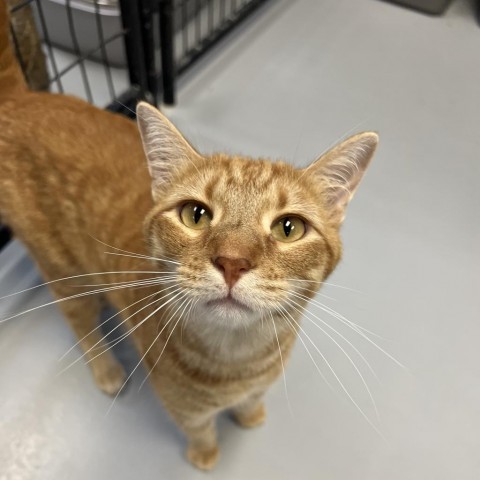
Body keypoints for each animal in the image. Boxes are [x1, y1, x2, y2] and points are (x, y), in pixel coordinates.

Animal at [0, 1, 378, 470]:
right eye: (195, 215)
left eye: (288, 227)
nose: (233, 262)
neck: (239, 361)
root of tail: (23, 97)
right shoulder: (184, 408)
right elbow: (199, 429)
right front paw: (205, 455)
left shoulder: (259, 382)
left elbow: (252, 400)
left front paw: (250, 415)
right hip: (63, 271)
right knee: (80, 325)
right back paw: (106, 369)